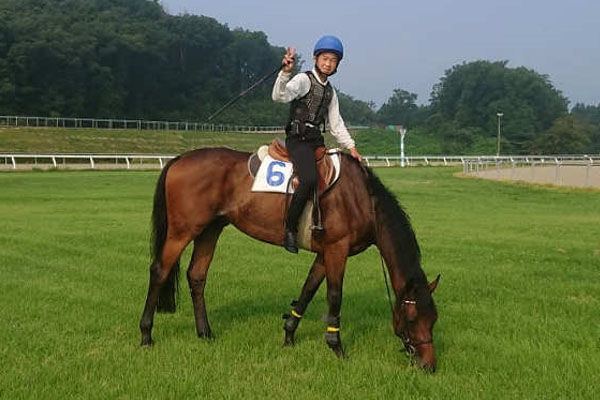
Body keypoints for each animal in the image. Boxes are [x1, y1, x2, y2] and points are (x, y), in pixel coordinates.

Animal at [139, 147, 441, 372]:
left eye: (434, 319)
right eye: (412, 318)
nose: (428, 365)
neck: (362, 200)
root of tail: (179, 159)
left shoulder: (324, 253)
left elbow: (307, 290)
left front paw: (289, 335)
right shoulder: (336, 250)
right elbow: (334, 296)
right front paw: (337, 347)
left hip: (210, 229)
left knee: (197, 276)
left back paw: (205, 333)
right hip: (182, 231)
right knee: (159, 271)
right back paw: (146, 335)